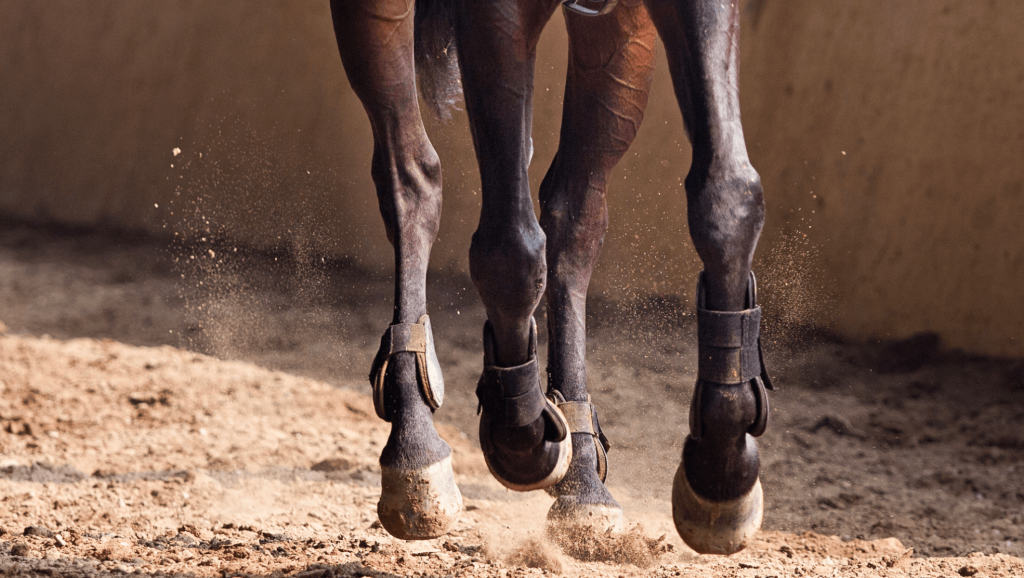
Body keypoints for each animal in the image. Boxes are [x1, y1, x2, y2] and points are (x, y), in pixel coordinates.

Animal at [331, 0, 770, 553]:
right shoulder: (494, 17)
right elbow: (510, 250)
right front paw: (519, 435)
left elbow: (728, 196)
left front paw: (722, 471)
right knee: (411, 175)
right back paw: (416, 450)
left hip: (616, 36)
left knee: (573, 217)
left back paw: (582, 481)